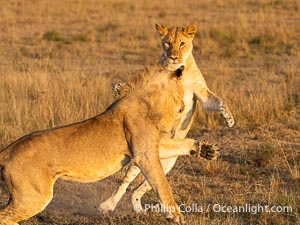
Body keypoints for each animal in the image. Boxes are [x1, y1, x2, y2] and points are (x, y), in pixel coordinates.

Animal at [0, 67, 205, 224]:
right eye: (182, 90)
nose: (183, 105)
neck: (145, 102)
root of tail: (6, 151)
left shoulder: (148, 147)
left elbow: (177, 145)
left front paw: (204, 148)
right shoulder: (144, 154)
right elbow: (162, 185)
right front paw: (176, 216)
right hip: (33, 197)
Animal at [99, 23, 233, 214]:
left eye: (182, 43)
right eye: (168, 43)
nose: (174, 57)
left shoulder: (201, 94)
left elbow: (219, 102)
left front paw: (229, 119)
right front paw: (118, 88)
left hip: (168, 163)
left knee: (143, 187)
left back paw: (140, 207)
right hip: (139, 159)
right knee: (124, 184)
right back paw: (108, 205)